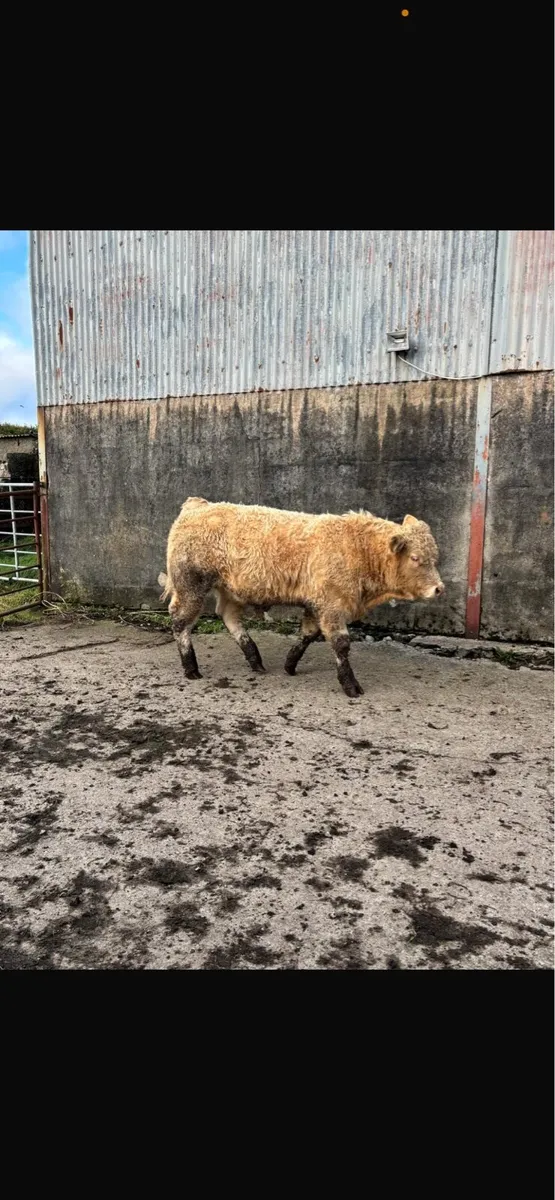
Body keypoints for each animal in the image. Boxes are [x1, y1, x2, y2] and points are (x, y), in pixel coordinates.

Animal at [159, 497, 444, 698]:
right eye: (415, 558)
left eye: (434, 556)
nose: (439, 588)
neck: (357, 547)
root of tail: (198, 506)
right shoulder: (332, 606)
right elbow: (341, 644)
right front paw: (350, 685)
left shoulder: (316, 604)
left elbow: (307, 634)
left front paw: (290, 664)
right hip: (190, 585)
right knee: (181, 622)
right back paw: (191, 668)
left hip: (231, 590)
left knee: (229, 617)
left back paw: (255, 659)